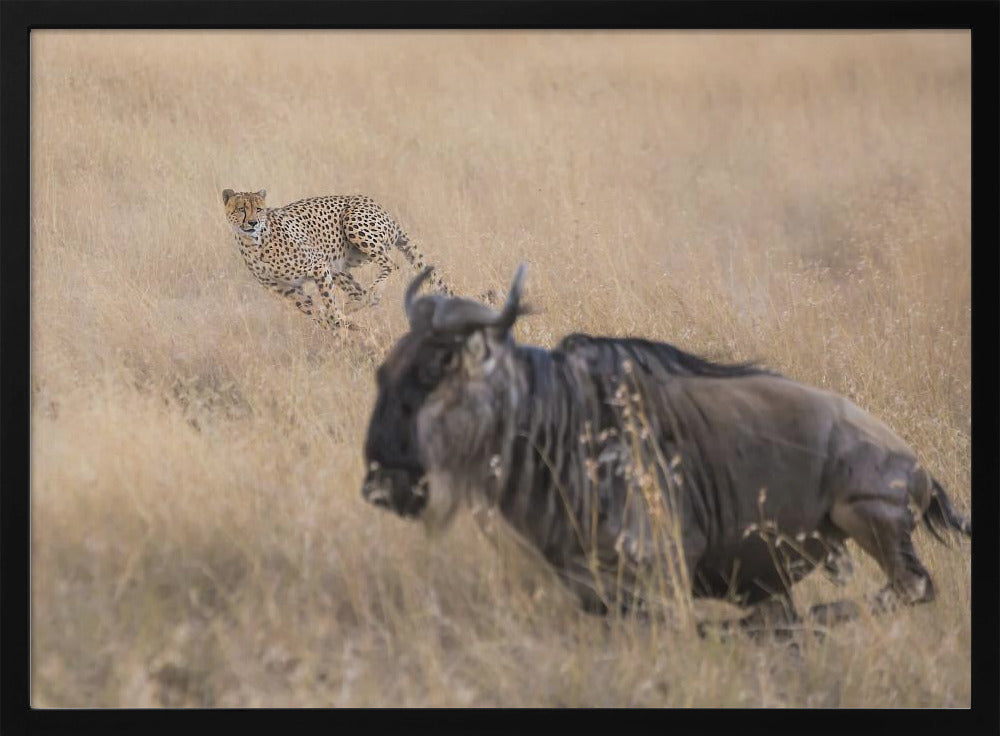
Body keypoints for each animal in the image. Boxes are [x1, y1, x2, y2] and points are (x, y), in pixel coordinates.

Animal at [222, 189, 459, 330]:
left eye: (259, 209)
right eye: (241, 209)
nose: (252, 223)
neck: (255, 243)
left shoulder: (318, 266)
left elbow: (329, 304)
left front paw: (340, 323)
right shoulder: (287, 289)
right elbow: (316, 311)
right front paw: (340, 325)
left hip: (354, 224)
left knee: (390, 264)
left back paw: (371, 293)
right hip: (339, 268)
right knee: (361, 294)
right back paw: (356, 307)